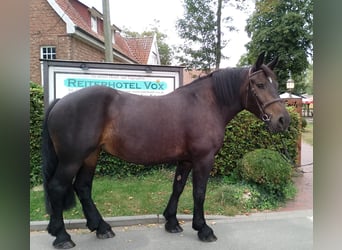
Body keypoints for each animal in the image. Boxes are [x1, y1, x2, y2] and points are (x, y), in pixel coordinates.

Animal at [42, 52, 288, 248]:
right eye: (260, 85)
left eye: (276, 83)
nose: (283, 120)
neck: (207, 103)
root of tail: (61, 101)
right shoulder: (203, 159)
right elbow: (199, 192)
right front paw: (203, 229)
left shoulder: (186, 160)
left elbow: (178, 187)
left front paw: (172, 222)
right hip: (72, 159)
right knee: (57, 187)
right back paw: (63, 236)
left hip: (90, 156)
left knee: (83, 187)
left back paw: (101, 227)